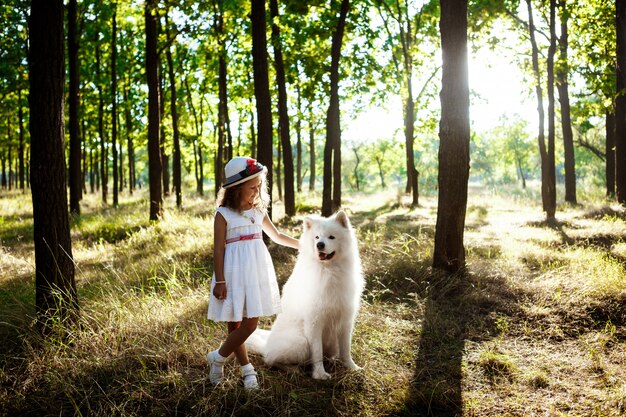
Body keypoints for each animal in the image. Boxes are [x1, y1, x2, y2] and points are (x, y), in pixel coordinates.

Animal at [243, 211, 360, 376]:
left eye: (331, 237)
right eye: (317, 237)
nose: (320, 245)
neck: (329, 271)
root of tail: (266, 345)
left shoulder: (345, 320)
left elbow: (346, 349)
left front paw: (352, 367)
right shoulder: (314, 322)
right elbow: (317, 352)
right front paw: (320, 374)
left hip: (330, 345)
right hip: (301, 342)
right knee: (270, 359)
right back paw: (293, 369)